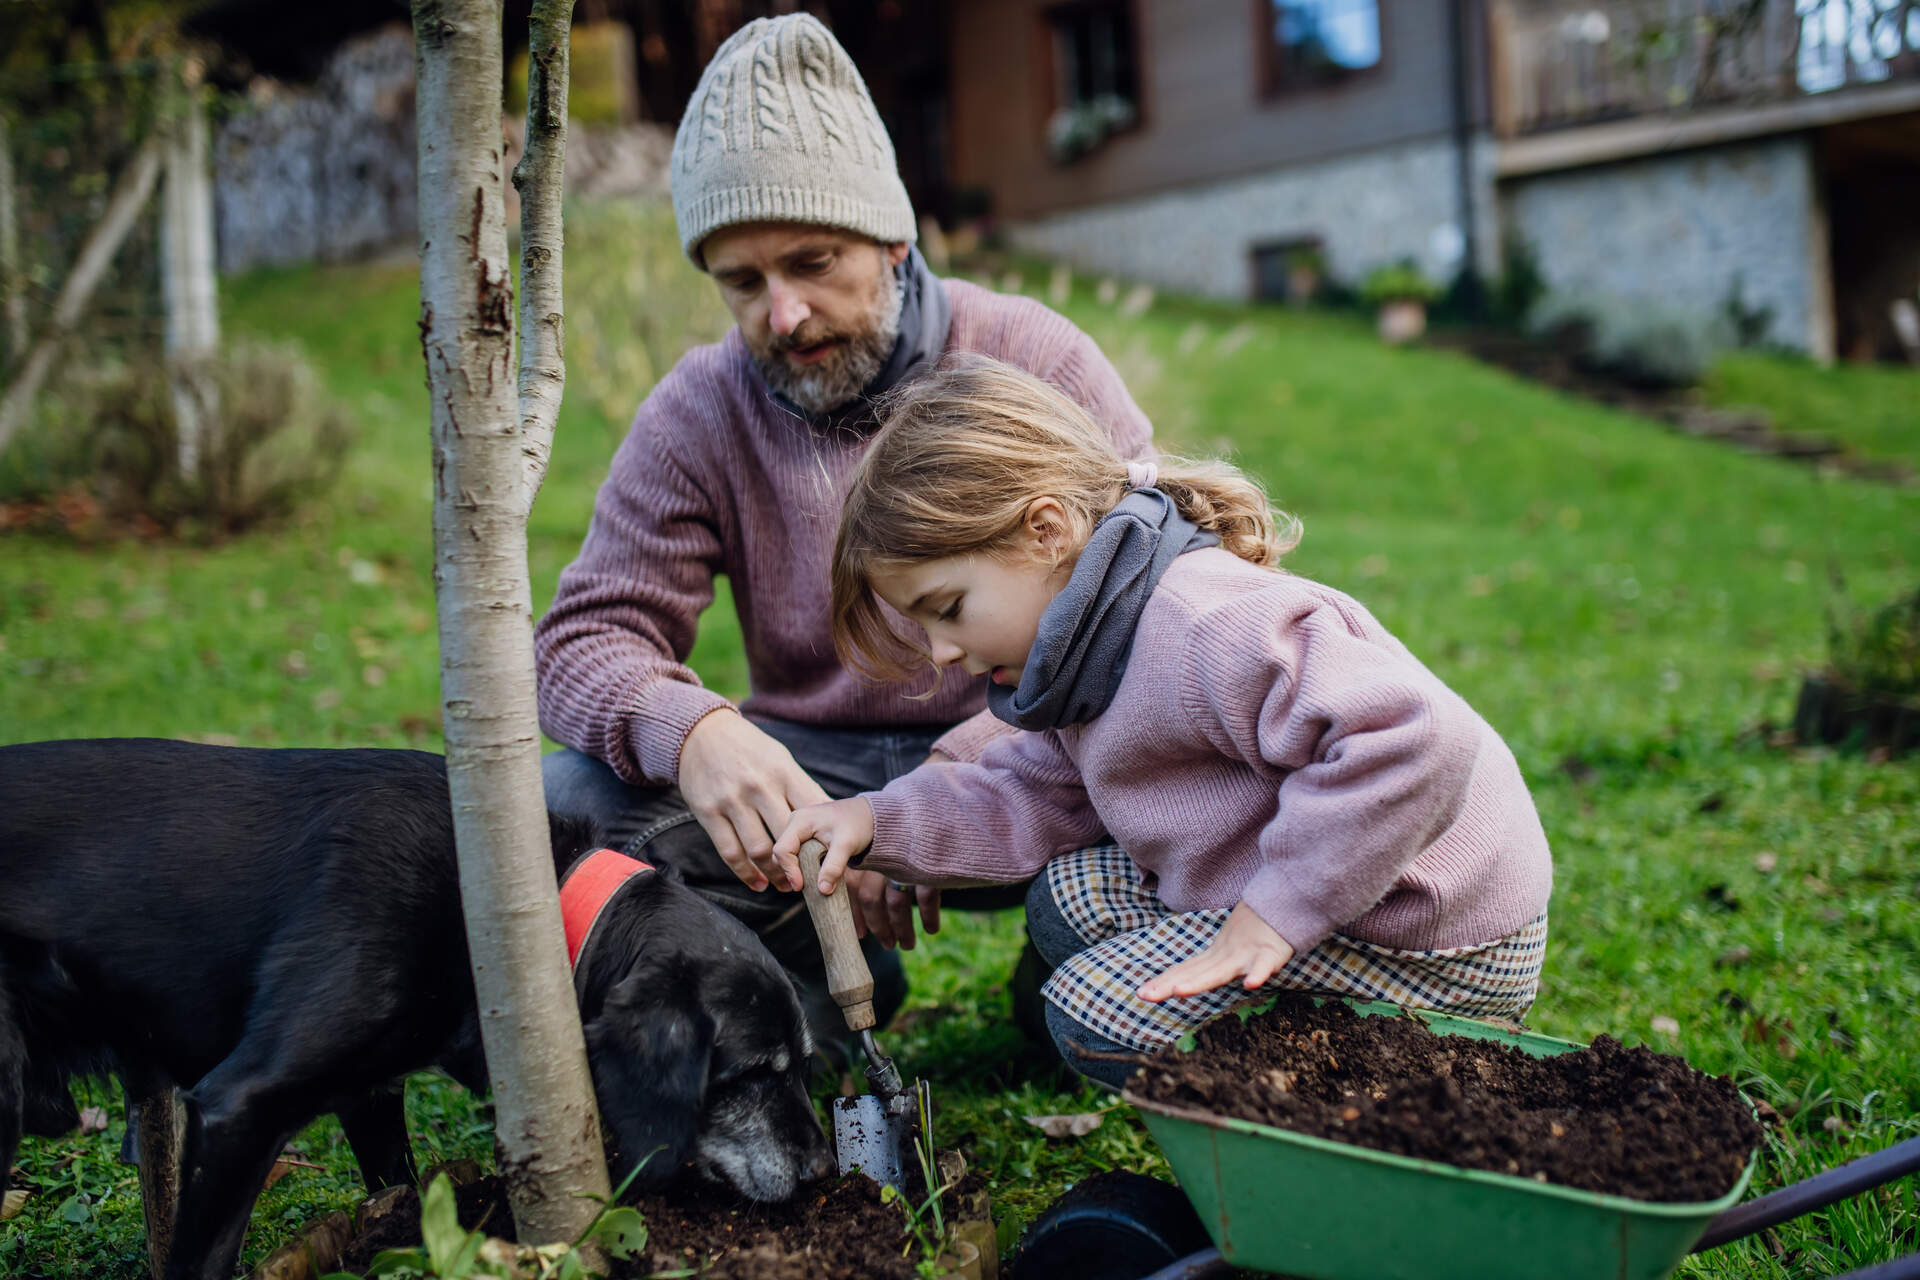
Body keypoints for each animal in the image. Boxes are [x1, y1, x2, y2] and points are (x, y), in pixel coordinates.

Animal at [0, 740, 829, 1280]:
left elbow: (392, 1187)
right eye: (753, 1073)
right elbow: (201, 1260)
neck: (518, 909)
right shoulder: (242, 1106)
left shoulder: (370, 1095)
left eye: (804, 1066)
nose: (823, 1170)